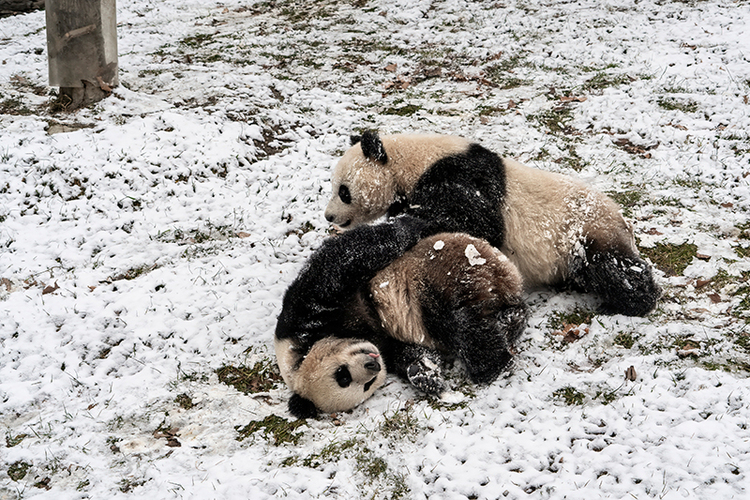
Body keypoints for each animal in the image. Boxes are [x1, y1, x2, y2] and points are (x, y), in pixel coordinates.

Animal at [276, 215, 528, 418]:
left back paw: (492, 366)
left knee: (456, 323)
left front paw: (409, 223)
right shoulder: (386, 345)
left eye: (342, 375)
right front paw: (424, 375)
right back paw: (509, 321)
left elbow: (342, 261)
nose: (372, 366)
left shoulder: (301, 314)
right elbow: (410, 353)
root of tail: (501, 277)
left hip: (445, 272)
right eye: (361, 385)